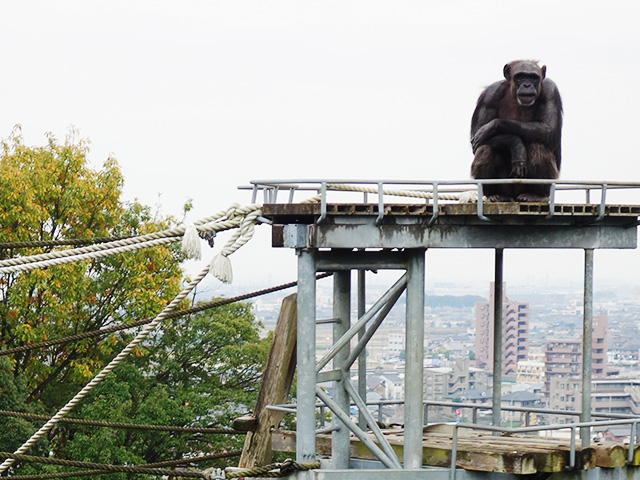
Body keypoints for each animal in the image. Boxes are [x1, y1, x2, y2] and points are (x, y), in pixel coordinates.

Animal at [468, 60, 564, 202]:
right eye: (520, 77)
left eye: (533, 77)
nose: (527, 85)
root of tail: (513, 197)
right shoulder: (489, 95)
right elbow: (477, 133)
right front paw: (516, 144)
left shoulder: (550, 90)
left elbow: (548, 128)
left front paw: (493, 126)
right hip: (506, 186)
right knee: (485, 149)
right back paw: (494, 195)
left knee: (538, 146)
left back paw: (536, 195)